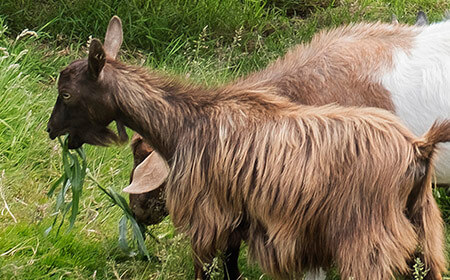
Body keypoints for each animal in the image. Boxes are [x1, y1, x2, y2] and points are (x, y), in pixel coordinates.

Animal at [47, 17, 448, 280]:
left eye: (66, 94)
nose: (52, 131)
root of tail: (419, 149)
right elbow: (231, 261)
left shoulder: (222, 216)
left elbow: (212, 264)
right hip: (421, 227)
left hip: (368, 239)